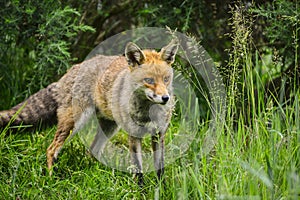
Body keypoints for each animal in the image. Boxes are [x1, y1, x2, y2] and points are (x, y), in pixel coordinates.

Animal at [0, 39, 178, 185]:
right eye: (149, 81)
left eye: (166, 79)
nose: (165, 98)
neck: (148, 112)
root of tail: (74, 67)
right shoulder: (133, 135)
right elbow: (138, 169)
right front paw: (140, 191)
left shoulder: (159, 134)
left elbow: (160, 168)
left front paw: (161, 189)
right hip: (74, 122)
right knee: (51, 150)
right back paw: (50, 180)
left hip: (109, 128)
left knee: (91, 150)